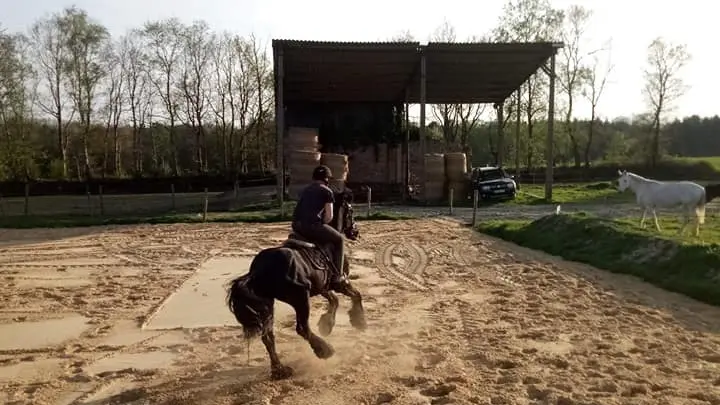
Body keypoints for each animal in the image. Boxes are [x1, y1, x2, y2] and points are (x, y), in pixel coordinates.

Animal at [228, 189, 368, 378]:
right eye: (351, 210)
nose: (356, 232)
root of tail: (257, 271)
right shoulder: (338, 283)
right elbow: (356, 295)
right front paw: (359, 321)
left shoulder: (321, 286)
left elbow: (334, 300)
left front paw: (326, 324)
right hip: (300, 298)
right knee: (302, 328)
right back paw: (324, 350)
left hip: (269, 305)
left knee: (268, 337)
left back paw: (280, 370)